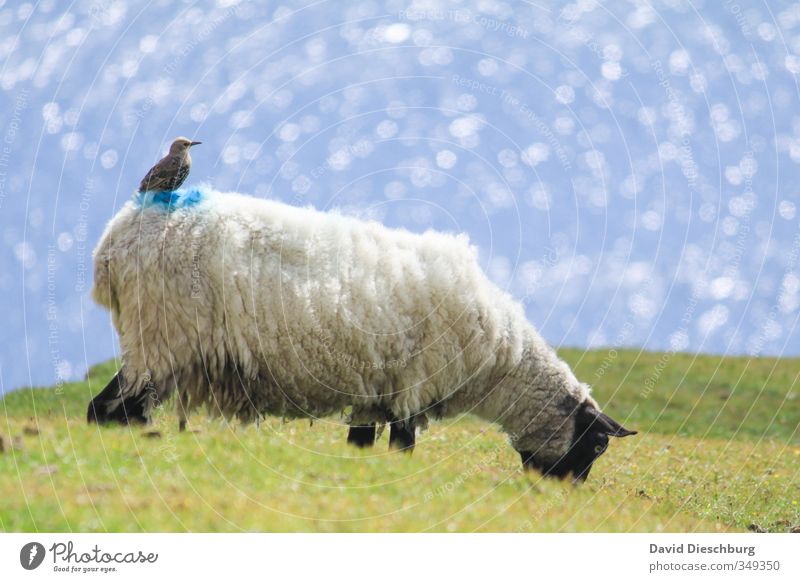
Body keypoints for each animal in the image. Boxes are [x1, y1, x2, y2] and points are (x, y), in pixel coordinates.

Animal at [89, 188, 636, 484]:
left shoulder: (376, 393)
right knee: (110, 408)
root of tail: (113, 243)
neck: (499, 359)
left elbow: (361, 446)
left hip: (154, 343)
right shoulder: (411, 387)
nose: (568, 494)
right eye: (596, 446)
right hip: (164, 336)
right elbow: (402, 450)